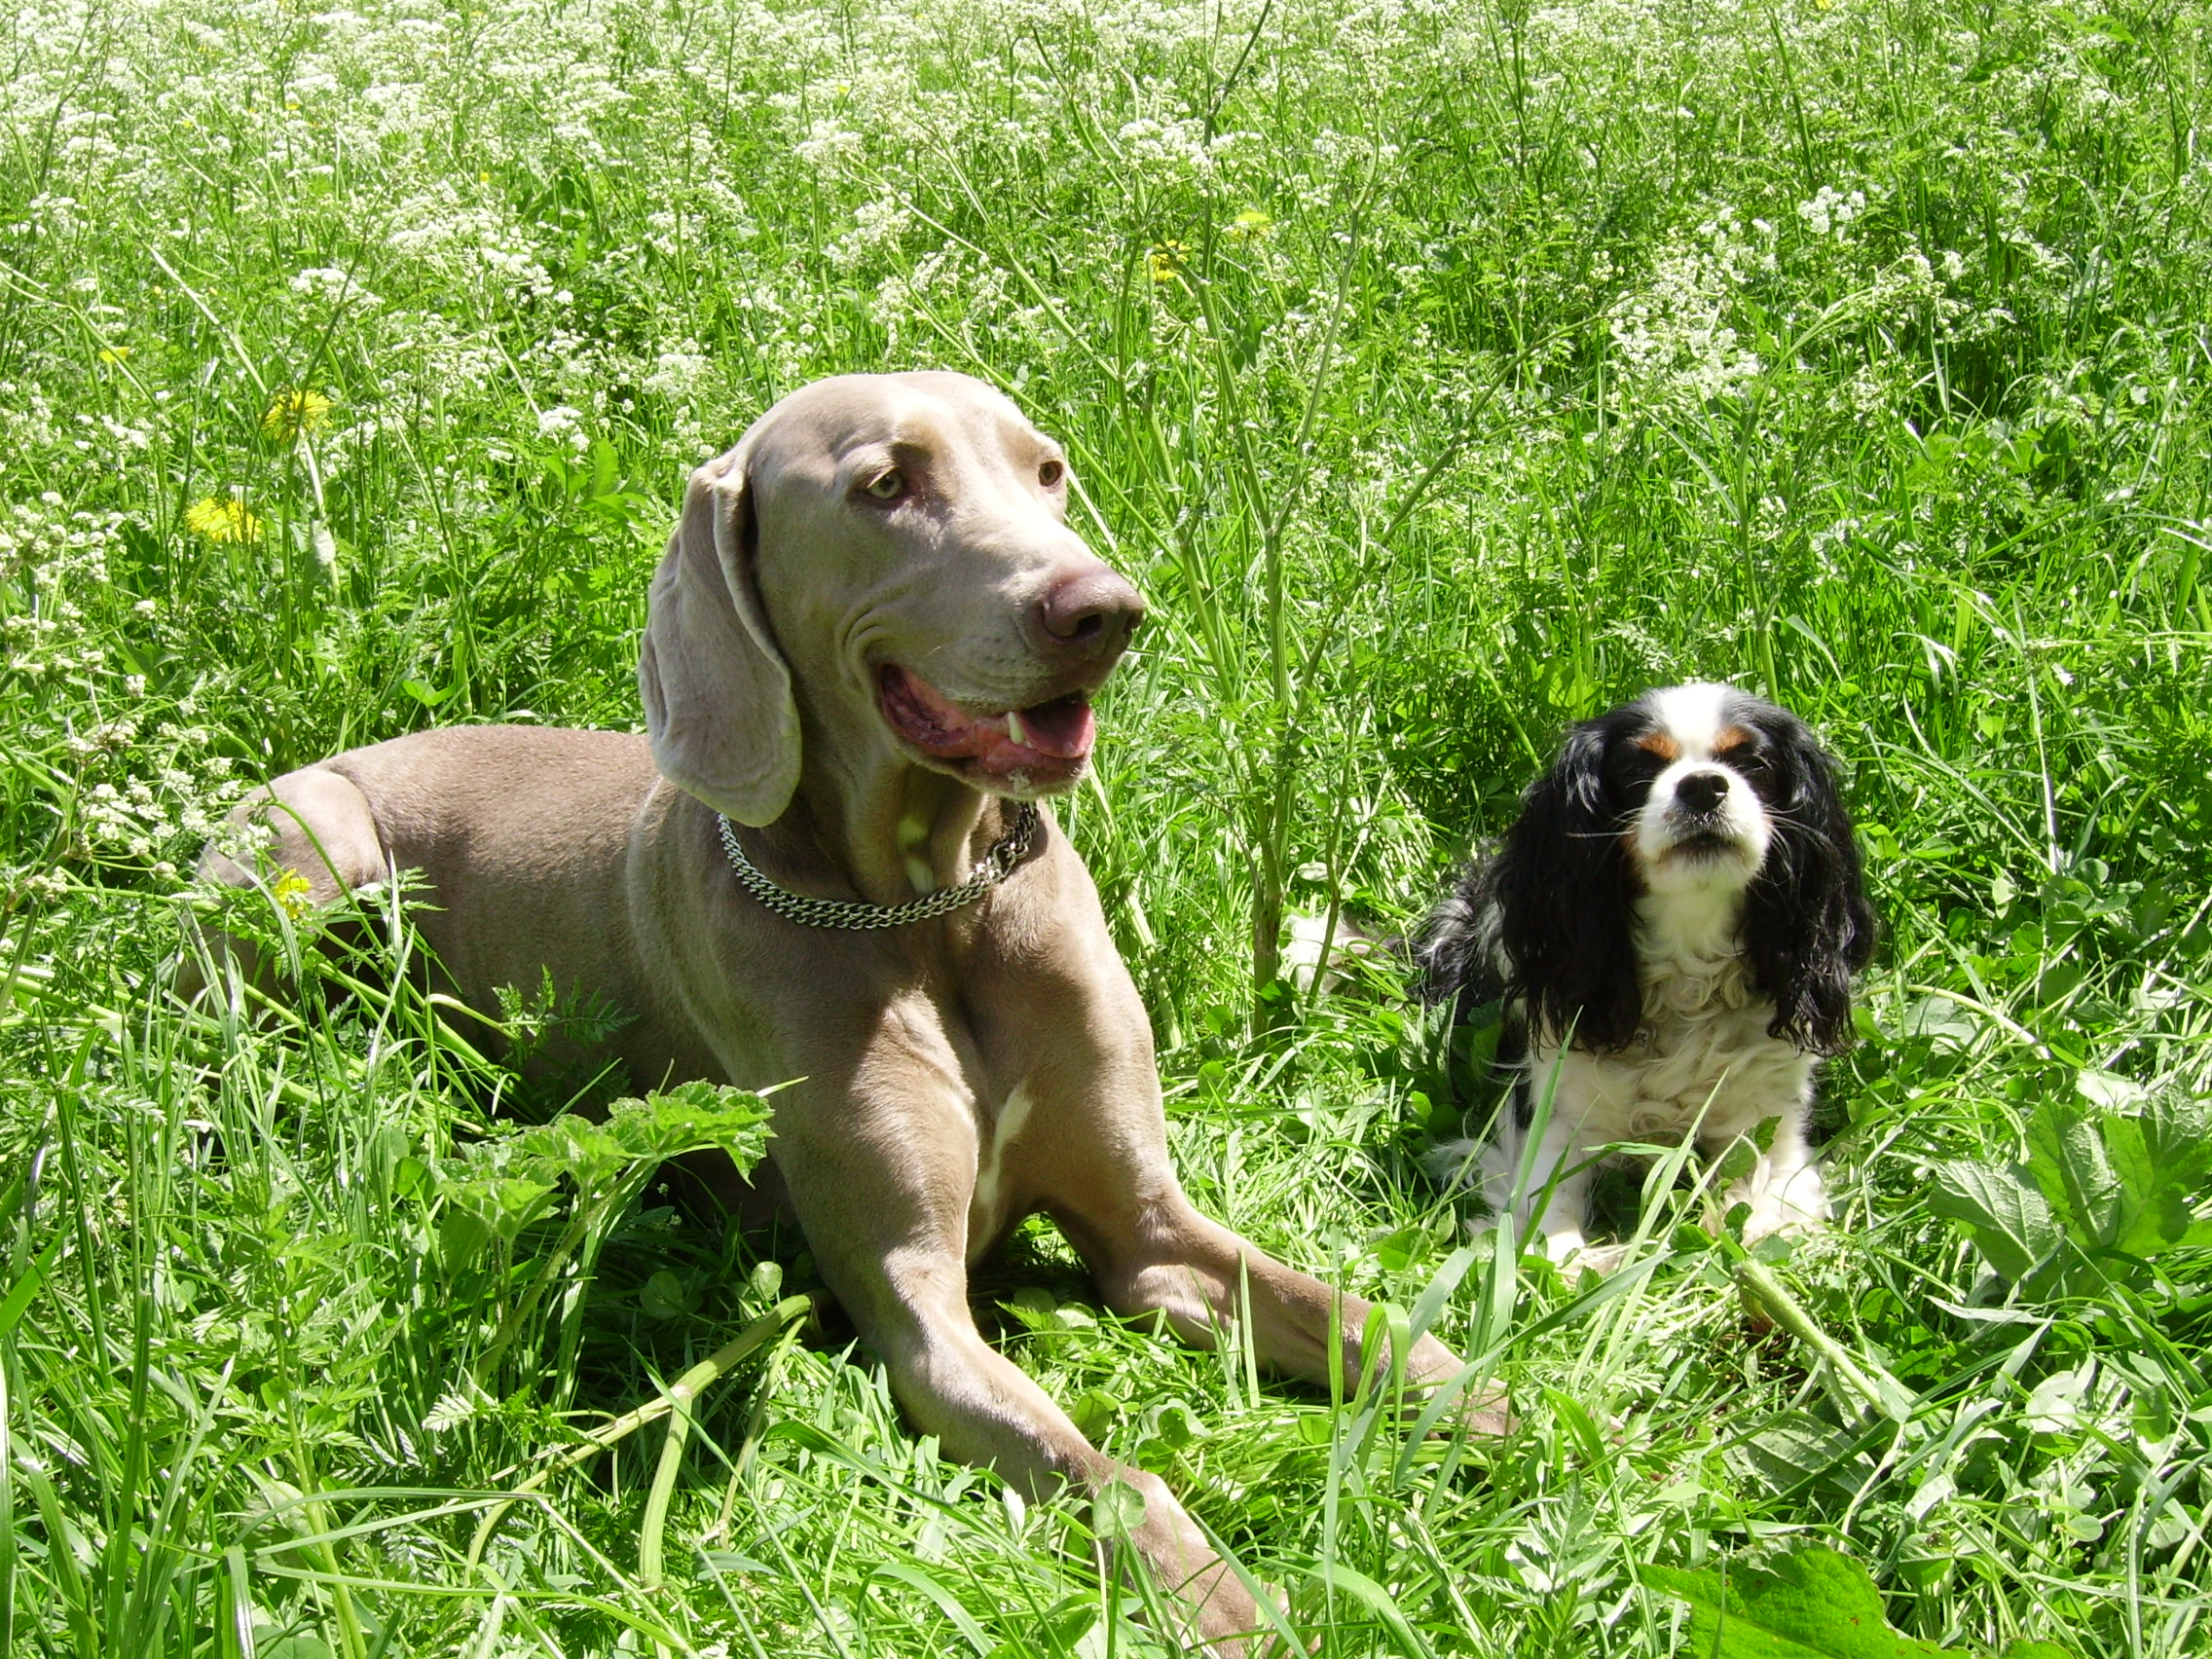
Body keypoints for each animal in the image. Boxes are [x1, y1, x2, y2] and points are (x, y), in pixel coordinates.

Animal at [188, 372, 1486, 1651]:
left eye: (1047, 470)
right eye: (884, 485)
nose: (1106, 610)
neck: (930, 905)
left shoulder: (1149, 1229)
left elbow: (1367, 1322)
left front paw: (1502, 1407)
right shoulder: (913, 1307)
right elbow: (1108, 1472)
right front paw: (1219, 1599)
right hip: (309, 859)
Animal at [1416, 683, 1875, 1268]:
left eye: (1751, 762)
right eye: (1639, 768)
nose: (1703, 785)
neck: (1688, 962)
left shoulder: (1771, 1122)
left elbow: (1762, 1205)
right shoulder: (1554, 1116)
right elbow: (1549, 1228)